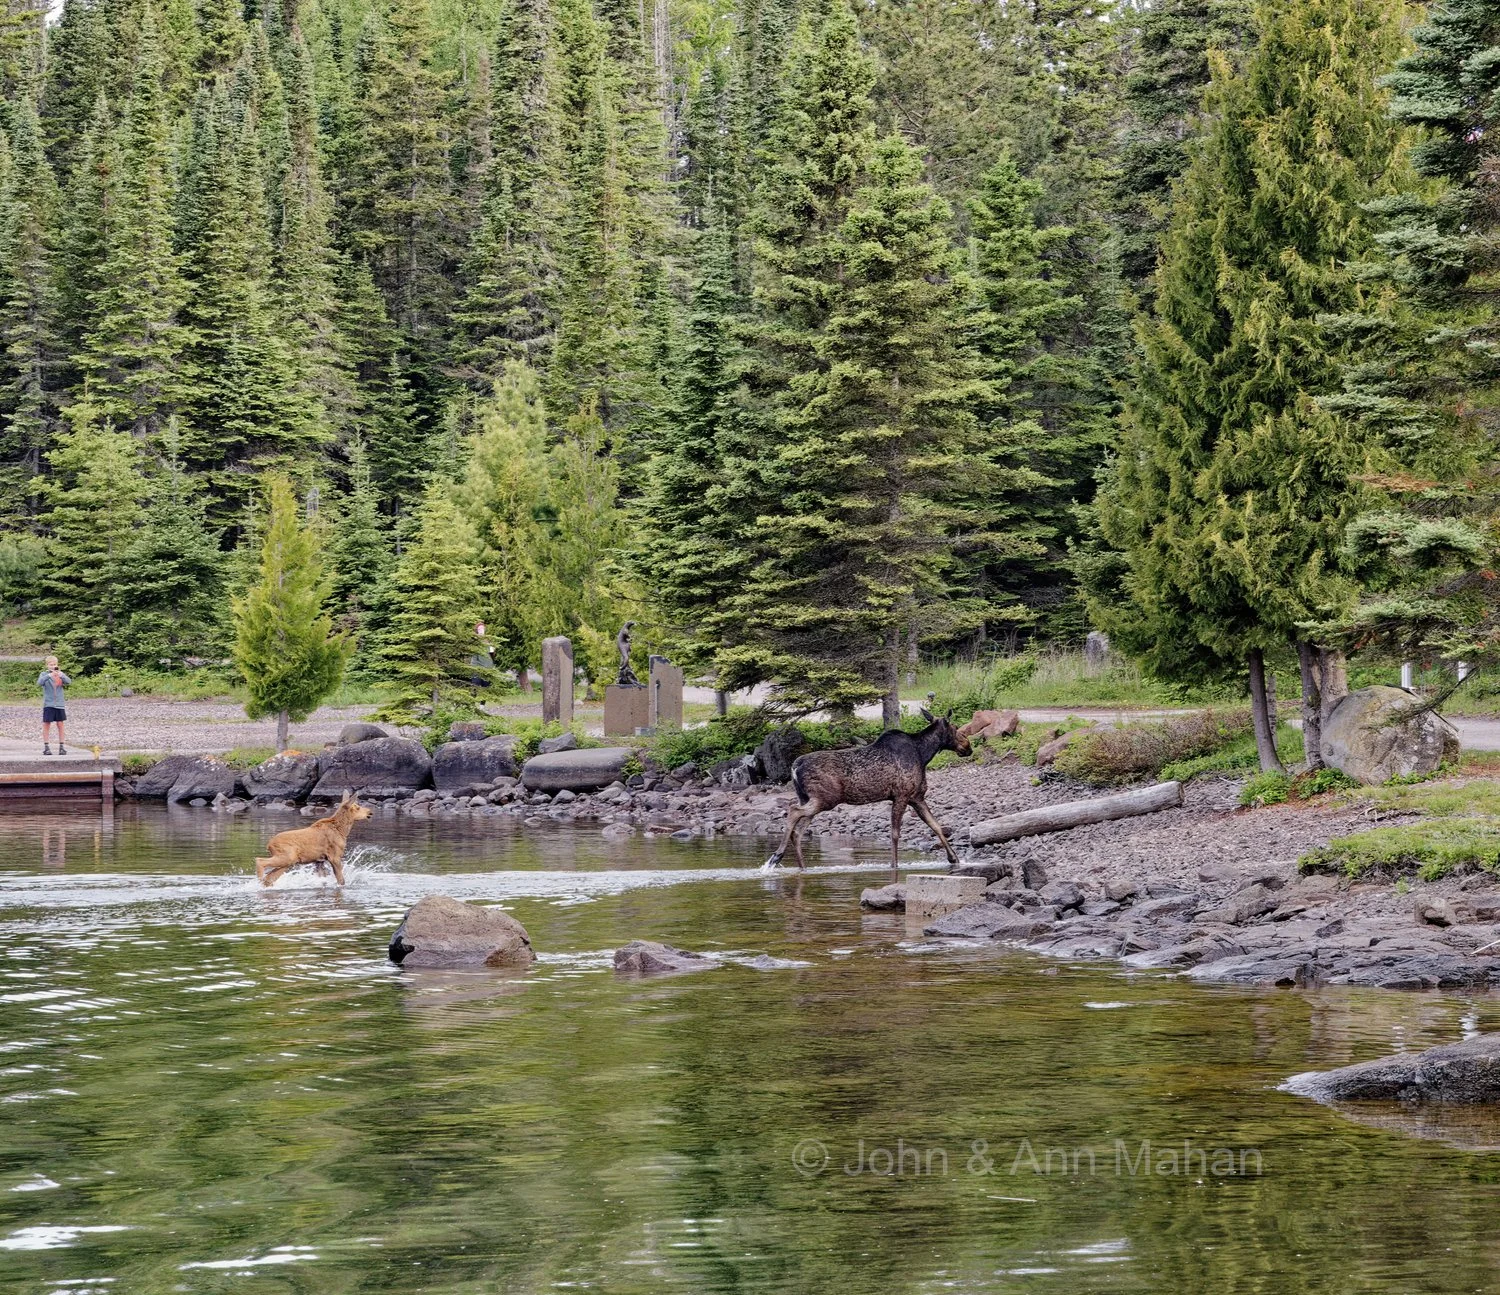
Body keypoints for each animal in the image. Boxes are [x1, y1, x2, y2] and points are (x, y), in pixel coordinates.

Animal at [764, 709, 972, 875]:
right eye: (956, 728)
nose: (968, 747)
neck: (924, 755)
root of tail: (794, 767)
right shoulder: (901, 795)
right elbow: (895, 834)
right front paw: (894, 865)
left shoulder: (916, 798)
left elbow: (936, 826)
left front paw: (954, 858)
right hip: (825, 799)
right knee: (793, 812)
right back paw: (776, 857)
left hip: (809, 798)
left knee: (798, 831)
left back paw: (801, 867)